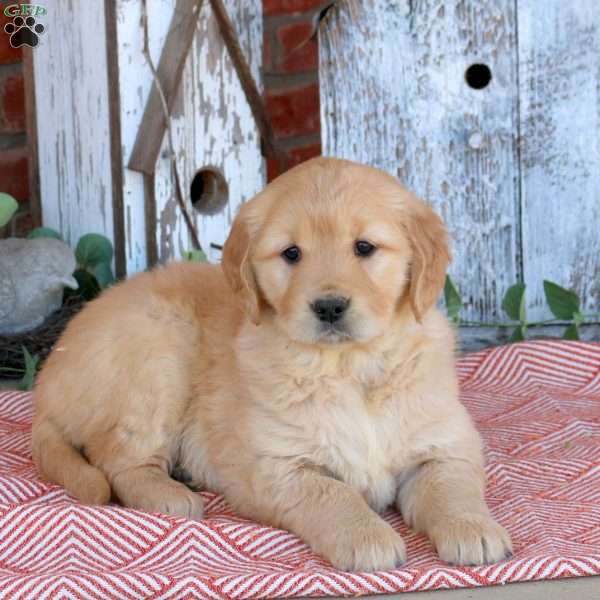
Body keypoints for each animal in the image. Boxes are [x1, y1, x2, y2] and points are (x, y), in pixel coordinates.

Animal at [31, 158, 510, 572]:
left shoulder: (445, 445)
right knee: (114, 458)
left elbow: (451, 486)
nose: (329, 307)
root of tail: (47, 380)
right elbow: (332, 494)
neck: (347, 367)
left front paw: (474, 529)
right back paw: (168, 493)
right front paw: (367, 537)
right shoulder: (279, 465)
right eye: (291, 254)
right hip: (158, 358)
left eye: (364, 248)